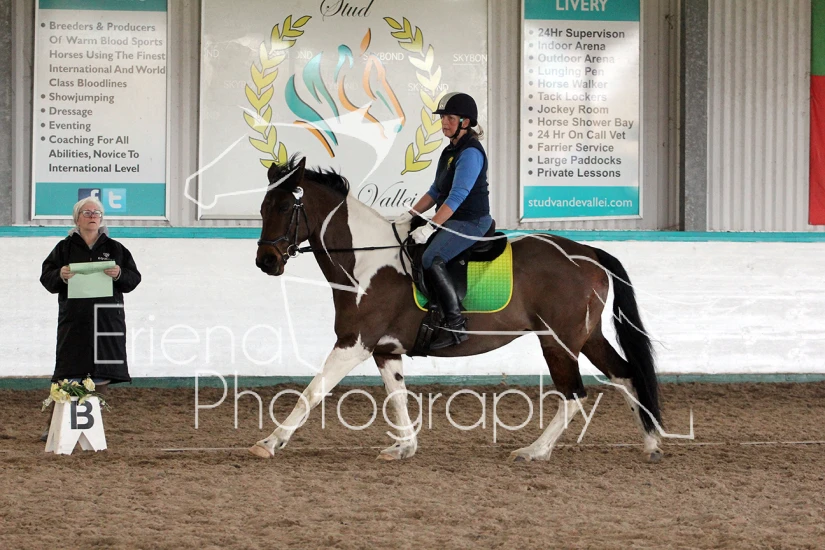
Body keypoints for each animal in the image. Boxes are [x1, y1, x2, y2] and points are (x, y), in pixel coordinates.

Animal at [250, 156, 664, 462]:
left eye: (286, 206)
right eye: (263, 208)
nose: (266, 262)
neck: (365, 261)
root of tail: (589, 252)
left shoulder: (354, 343)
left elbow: (311, 392)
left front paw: (269, 443)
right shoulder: (384, 350)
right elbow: (397, 397)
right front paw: (404, 446)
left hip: (558, 341)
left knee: (575, 394)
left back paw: (534, 450)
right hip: (587, 336)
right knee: (625, 375)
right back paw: (650, 444)